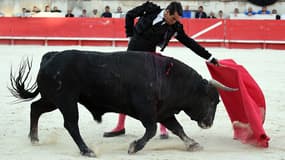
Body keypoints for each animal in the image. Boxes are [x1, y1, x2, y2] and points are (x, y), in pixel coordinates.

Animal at [8, 50, 235, 156]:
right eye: (212, 100)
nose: (208, 123)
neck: (169, 78)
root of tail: (51, 58)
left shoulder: (163, 112)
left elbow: (177, 128)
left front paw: (193, 144)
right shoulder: (146, 111)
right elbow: (151, 130)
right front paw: (134, 147)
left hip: (52, 99)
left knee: (35, 108)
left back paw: (34, 139)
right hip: (66, 100)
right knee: (71, 124)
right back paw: (86, 150)